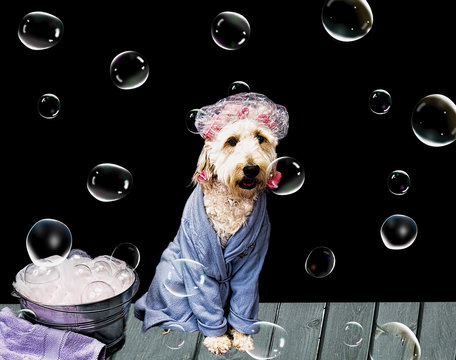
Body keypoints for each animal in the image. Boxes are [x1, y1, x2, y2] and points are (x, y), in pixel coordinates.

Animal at [133, 93, 288, 354]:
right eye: (231, 141)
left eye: (260, 138)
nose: (251, 168)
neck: (233, 200)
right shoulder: (198, 262)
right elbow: (207, 303)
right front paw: (217, 338)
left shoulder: (252, 261)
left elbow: (244, 301)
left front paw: (242, 336)